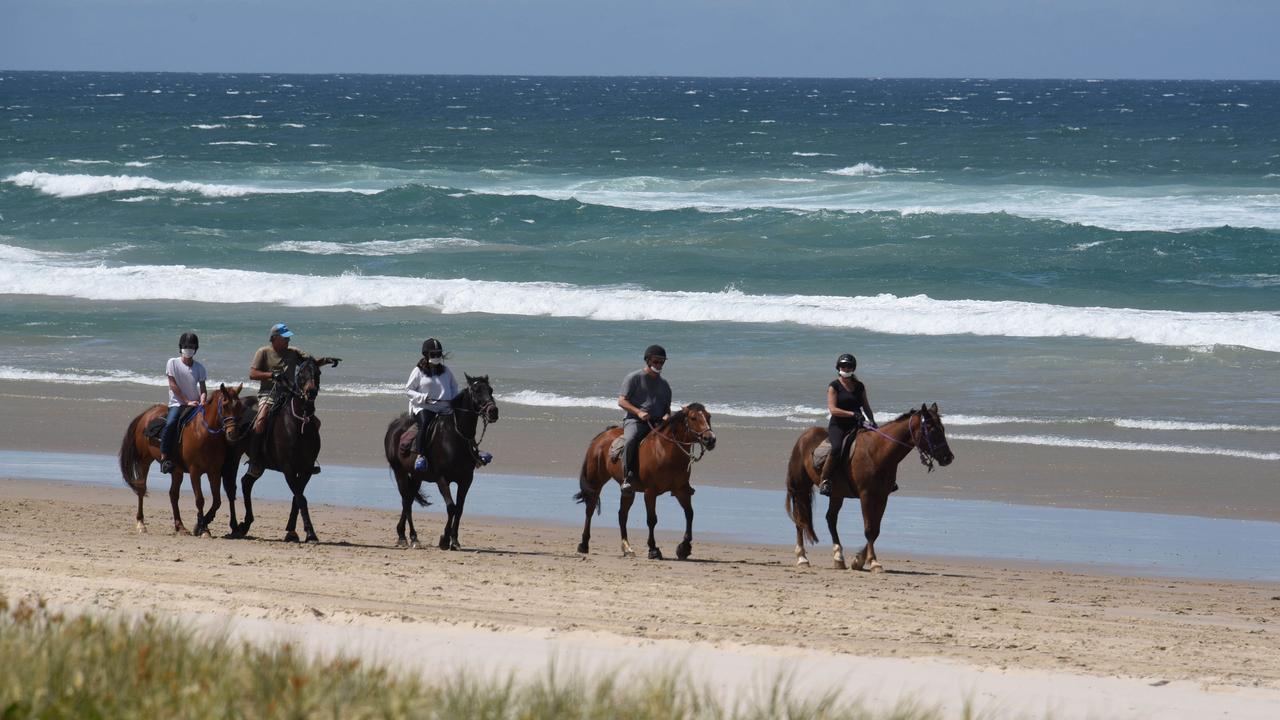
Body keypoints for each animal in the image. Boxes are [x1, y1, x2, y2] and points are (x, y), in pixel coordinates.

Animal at [117, 384, 244, 535]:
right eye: (224, 406)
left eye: (240, 406)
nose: (233, 433)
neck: (204, 433)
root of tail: (146, 414)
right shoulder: (195, 472)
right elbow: (200, 500)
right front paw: (203, 529)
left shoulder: (214, 472)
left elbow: (216, 501)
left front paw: (202, 526)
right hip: (145, 461)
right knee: (142, 489)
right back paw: (141, 523)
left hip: (176, 470)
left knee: (173, 494)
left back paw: (180, 526)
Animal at [381, 371, 496, 545]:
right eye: (476, 390)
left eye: (491, 390)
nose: (493, 411)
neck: (455, 437)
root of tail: (394, 425)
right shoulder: (442, 479)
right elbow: (451, 507)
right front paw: (445, 539)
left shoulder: (466, 480)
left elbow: (459, 509)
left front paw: (454, 540)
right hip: (399, 471)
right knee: (406, 501)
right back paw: (403, 536)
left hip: (416, 475)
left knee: (409, 500)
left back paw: (413, 536)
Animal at [573, 399, 716, 558]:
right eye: (693, 418)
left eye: (708, 416)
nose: (710, 439)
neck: (665, 451)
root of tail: (601, 436)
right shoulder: (650, 492)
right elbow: (652, 520)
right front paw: (653, 549)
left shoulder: (681, 490)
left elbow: (689, 514)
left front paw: (684, 547)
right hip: (596, 482)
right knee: (590, 510)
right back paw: (583, 544)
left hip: (628, 491)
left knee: (622, 515)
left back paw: (627, 548)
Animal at [778, 399, 952, 568]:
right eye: (931, 429)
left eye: (942, 428)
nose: (948, 457)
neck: (877, 452)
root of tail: (804, 436)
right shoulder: (866, 495)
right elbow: (869, 529)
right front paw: (873, 561)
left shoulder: (882, 496)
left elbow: (875, 530)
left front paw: (859, 560)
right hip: (801, 488)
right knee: (800, 519)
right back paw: (802, 557)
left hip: (837, 493)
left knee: (831, 519)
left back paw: (838, 557)